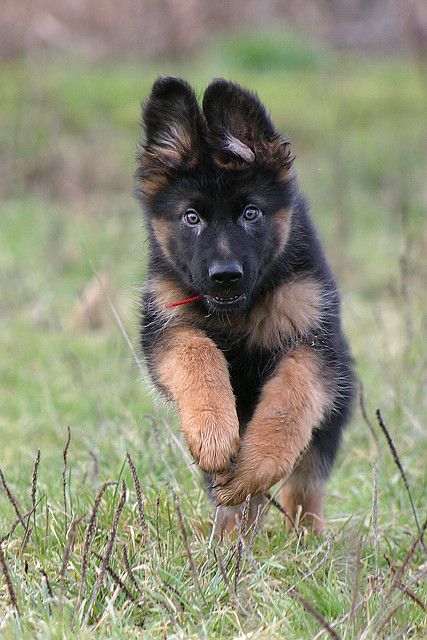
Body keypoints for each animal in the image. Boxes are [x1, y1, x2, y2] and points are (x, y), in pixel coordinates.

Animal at [136, 77, 354, 532]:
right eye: (192, 217)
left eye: (250, 213)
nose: (225, 275)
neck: (240, 310)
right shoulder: (166, 325)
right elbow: (196, 352)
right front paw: (212, 430)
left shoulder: (315, 340)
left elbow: (290, 399)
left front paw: (258, 463)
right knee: (238, 503)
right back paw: (230, 540)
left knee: (305, 483)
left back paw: (308, 540)